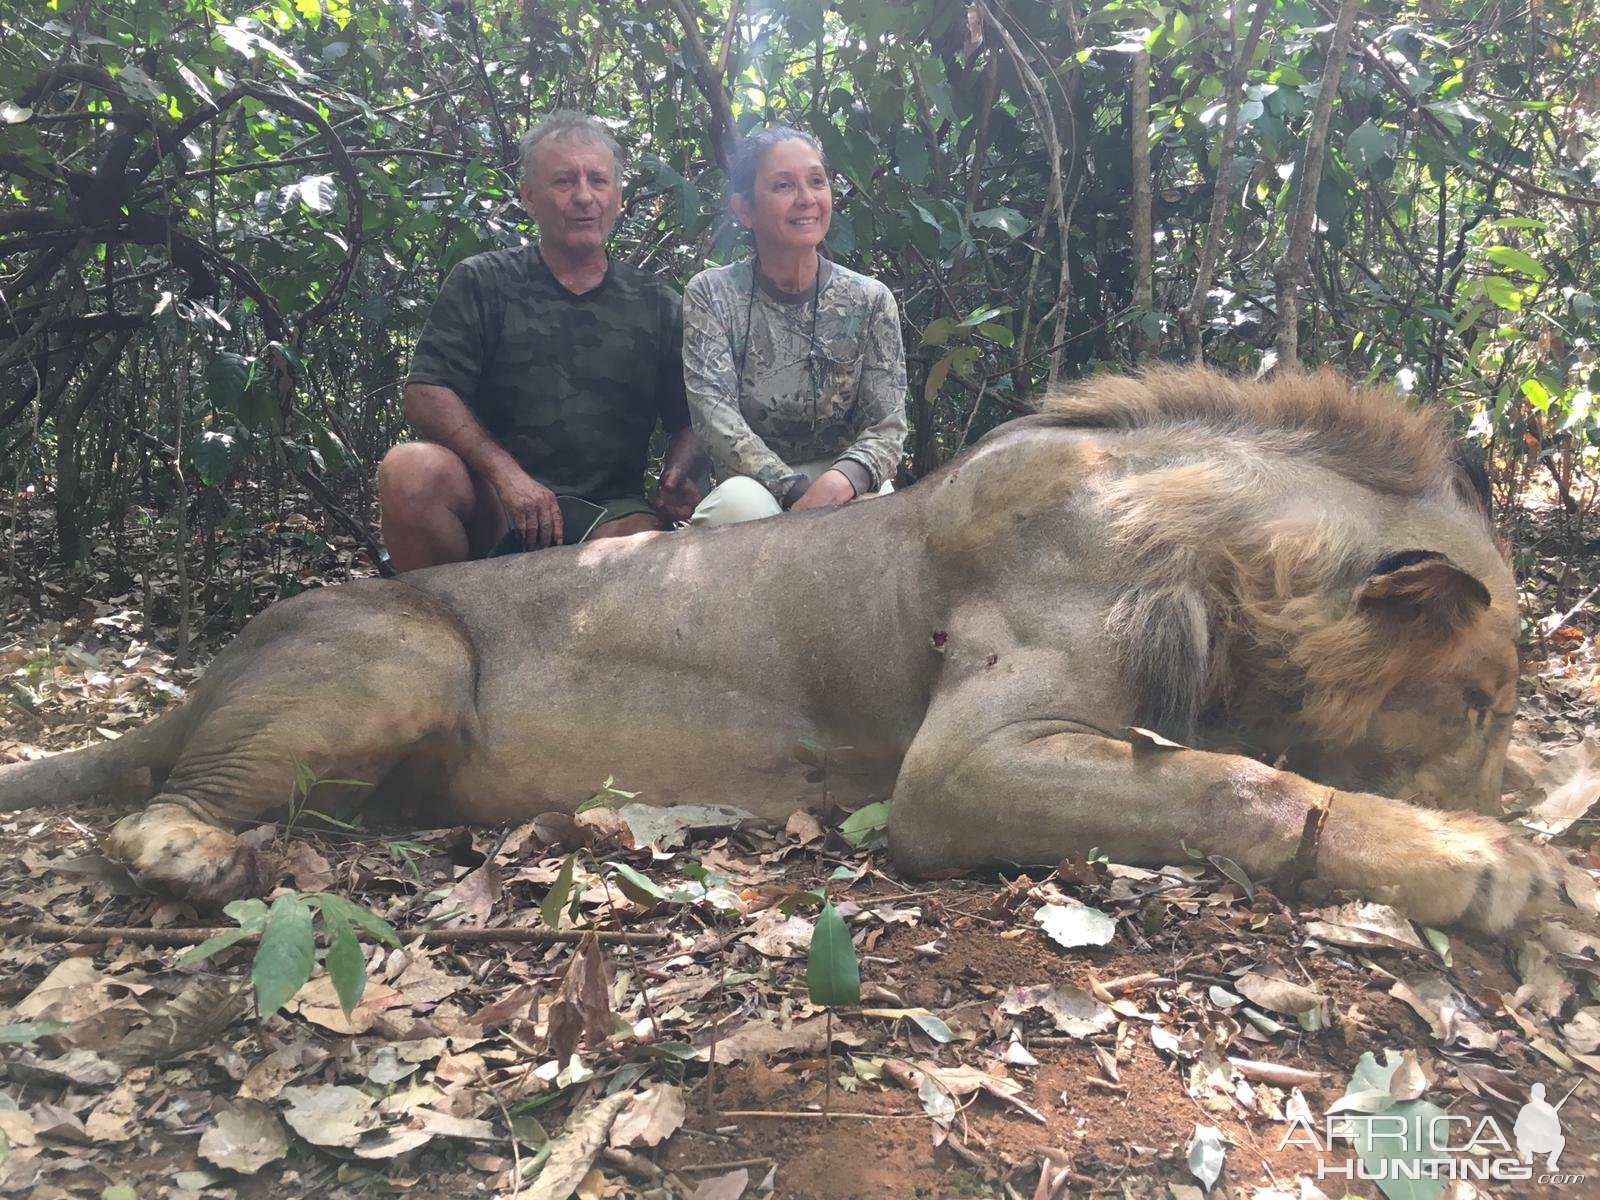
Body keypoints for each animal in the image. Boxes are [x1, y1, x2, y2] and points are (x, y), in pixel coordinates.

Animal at [0, 366, 1548, 928]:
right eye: (1479, 701)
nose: (1509, 785)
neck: (1221, 564)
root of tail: (210, 667)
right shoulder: (957, 769)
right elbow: (1247, 787)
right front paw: (1505, 870)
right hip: (404, 658)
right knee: (148, 822)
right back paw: (219, 862)